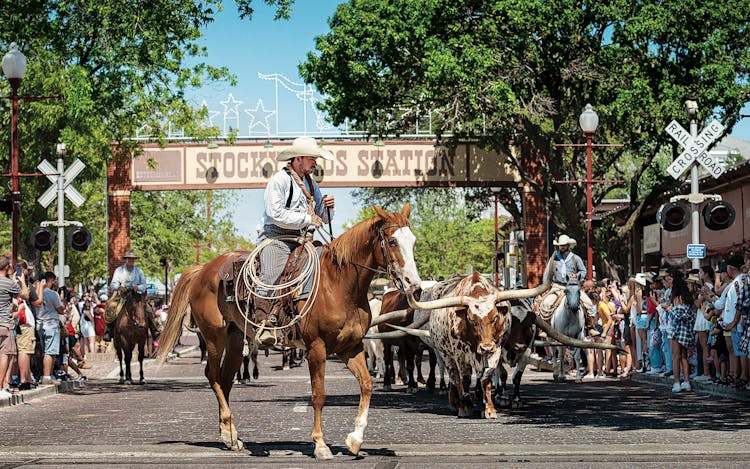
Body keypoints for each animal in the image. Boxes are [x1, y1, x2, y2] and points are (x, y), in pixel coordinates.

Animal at [158, 204, 424, 458]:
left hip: (235, 339)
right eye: (392, 241)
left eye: (413, 241)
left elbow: (367, 385)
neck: (339, 285)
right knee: (212, 376)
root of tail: (203, 269)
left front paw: (355, 440)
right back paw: (229, 432)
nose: (414, 284)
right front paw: (320, 445)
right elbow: (318, 395)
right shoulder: (316, 347)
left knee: (224, 380)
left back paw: (230, 436)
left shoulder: (350, 347)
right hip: (214, 337)